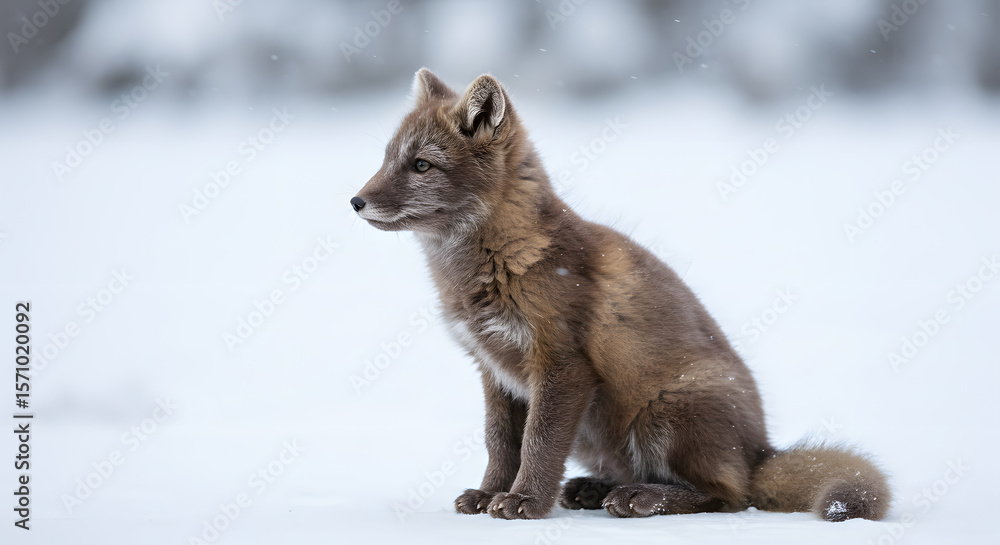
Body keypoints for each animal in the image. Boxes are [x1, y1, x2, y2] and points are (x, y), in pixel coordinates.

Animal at [350, 68, 890, 521]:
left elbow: (538, 445)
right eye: (386, 159)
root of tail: (761, 451)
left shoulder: (562, 366)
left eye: (422, 165)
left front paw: (525, 502)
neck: (501, 262)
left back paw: (642, 498)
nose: (355, 201)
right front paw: (488, 494)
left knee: (729, 497)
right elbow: (500, 443)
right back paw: (595, 489)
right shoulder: (494, 370)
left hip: (662, 416)